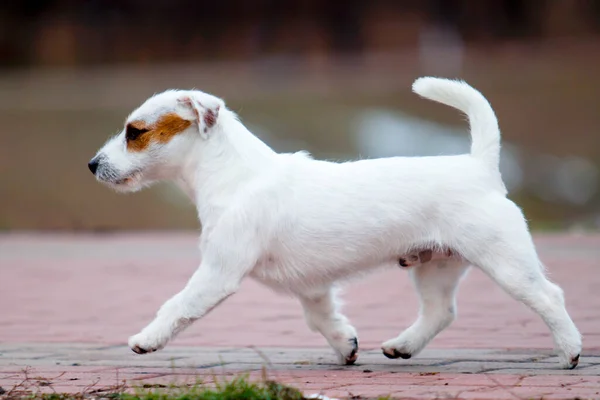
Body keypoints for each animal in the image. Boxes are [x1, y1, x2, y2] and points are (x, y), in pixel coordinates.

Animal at [89, 77, 580, 368]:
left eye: (135, 132)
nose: (92, 165)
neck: (236, 174)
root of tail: (480, 165)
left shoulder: (217, 272)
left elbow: (177, 305)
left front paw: (147, 339)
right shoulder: (311, 287)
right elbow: (322, 318)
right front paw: (346, 346)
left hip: (505, 260)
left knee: (549, 296)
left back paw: (572, 351)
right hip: (436, 265)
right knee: (440, 311)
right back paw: (402, 345)